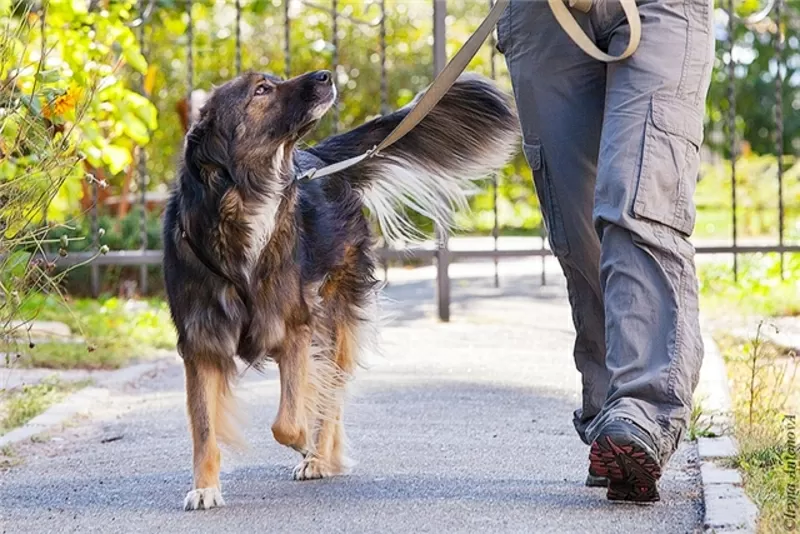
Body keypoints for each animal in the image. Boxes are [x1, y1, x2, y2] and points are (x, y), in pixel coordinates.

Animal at [162, 69, 520, 512]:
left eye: (273, 80)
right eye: (262, 90)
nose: (325, 75)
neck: (246, 202)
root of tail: (320, 160)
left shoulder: (295, 329)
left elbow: (288, 420)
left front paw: (306, 445)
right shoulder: (202, 343)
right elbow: (204, 428)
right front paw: (205, 487)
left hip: (335, 315)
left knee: (331, 390)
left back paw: (319, 456)